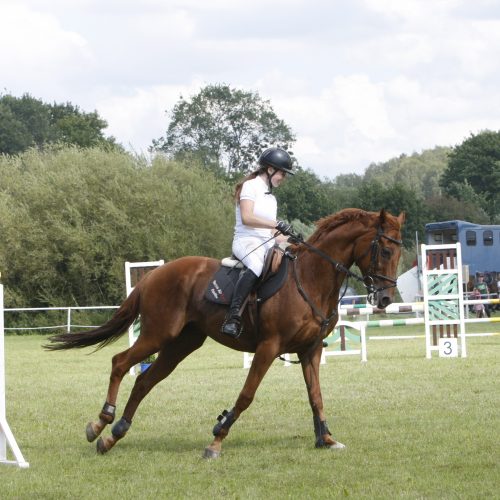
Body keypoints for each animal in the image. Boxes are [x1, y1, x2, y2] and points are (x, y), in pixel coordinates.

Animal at [47, 206, 404, 458]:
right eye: (385, 251)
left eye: (399, 252)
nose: (385, 299)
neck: (311, 278)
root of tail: (152, 276)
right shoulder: (269, 347)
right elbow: (246, 395)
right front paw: (217, 438)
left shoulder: (310, 350)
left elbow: (315, 395)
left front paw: (326, 438)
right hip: (158, 335)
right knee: (120, 363)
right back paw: (101, 422)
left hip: (182, 344)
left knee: (145, 380)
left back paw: (114, 435)